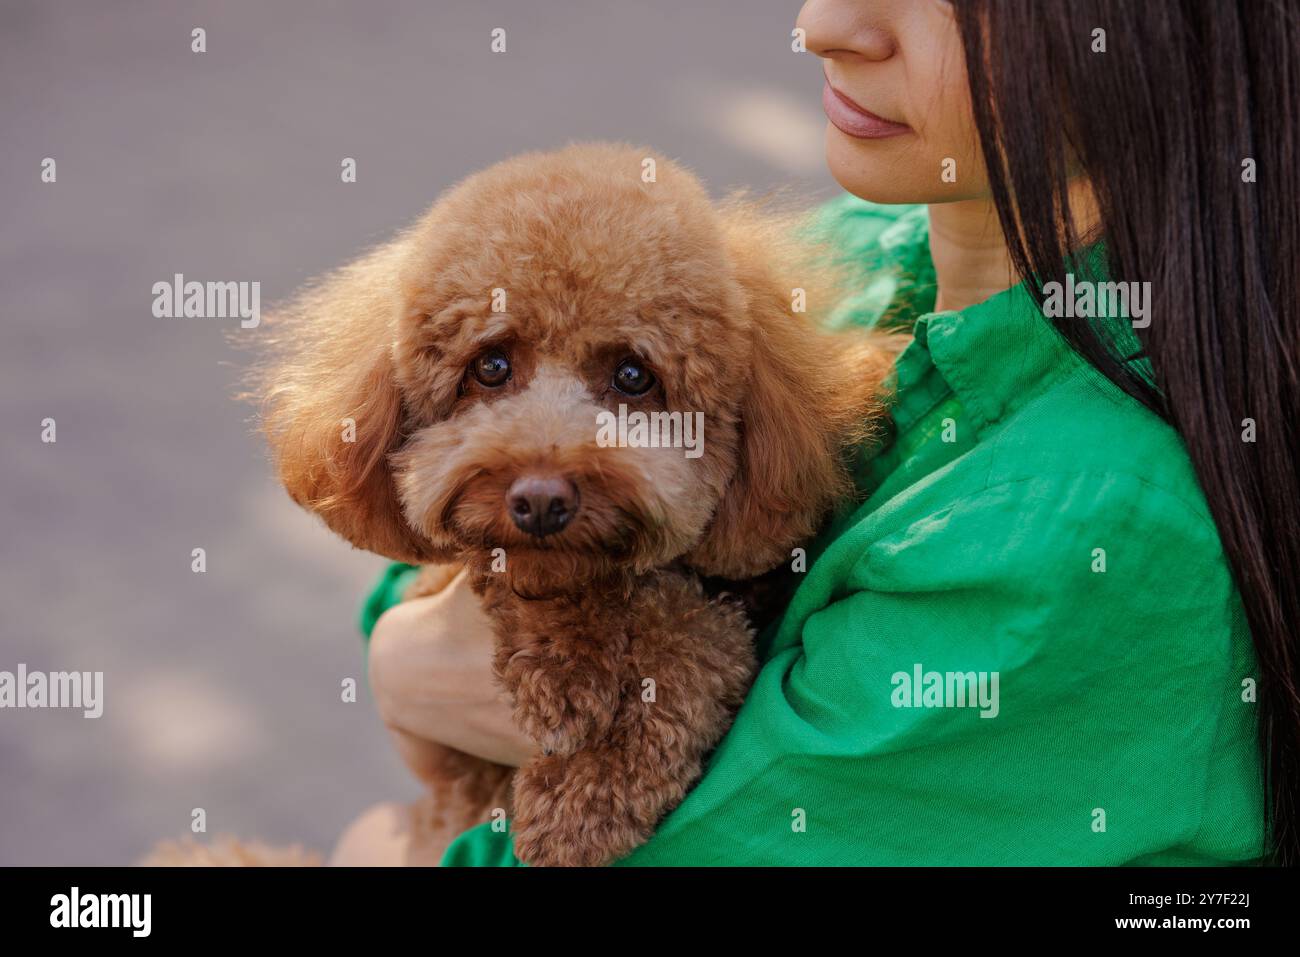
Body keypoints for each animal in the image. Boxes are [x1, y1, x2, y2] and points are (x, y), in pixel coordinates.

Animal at [253, 143, 904, 868]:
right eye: (490, 366)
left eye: (633, 376)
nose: (539, 501)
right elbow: (521, 585)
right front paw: (565, 674)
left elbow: (695, 637)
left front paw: (585, 795)